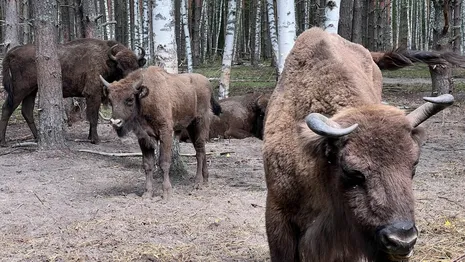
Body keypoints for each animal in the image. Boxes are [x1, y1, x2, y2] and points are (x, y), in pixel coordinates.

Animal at [0, 37, 145, 146]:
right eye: (120, 67)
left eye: (136, 67)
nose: (132, 83)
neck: (106, 60)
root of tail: (12, 52)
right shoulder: (93, 94)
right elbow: (93, 117)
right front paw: (95, 140)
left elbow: (92, 116)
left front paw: (90, 137)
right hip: (19, 90)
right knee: (7, 108)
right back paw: (3, 142)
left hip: (31, 91)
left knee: (27, 111)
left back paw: (37, 138)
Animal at [98, 66, 221, 200]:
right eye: (110, 100)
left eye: (130, 99)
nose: (115, 122)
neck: (144, 99)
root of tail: (207, 82)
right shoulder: (144, 138)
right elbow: (148, 165)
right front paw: (147, 193)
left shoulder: (165, 132)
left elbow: (164, 162)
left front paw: (166, 192)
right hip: (190, 127)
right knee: (202, 149)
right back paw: (206, 180)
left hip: (199, 122)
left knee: (199, 152)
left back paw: (197, 183)